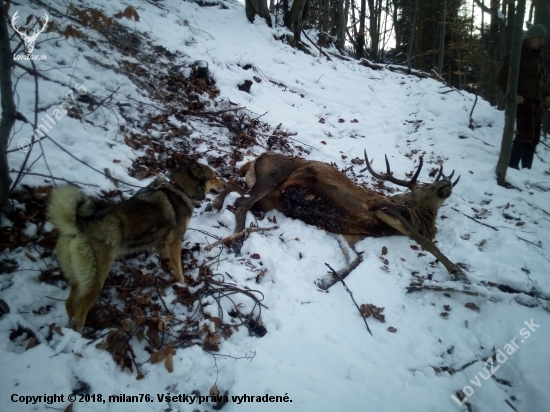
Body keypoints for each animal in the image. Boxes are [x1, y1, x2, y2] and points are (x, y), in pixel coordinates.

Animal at [47, 159, 226, 334]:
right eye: (213, 176)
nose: (225, 185)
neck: (180, 188)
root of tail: (77, 227)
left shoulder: (160, 242)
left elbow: (168, 262)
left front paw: (170, 275)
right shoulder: (175, 241)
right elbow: (179, 268)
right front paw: (183, 285)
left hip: (78, 277)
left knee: (70, 303)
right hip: (96, 278)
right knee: (78, 316)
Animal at [213, 150, 468, 288]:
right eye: (424, 187)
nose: (446, 181)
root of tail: (256, 158)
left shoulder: (351, 234)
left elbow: (356, 260)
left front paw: (326, 280)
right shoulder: (381, 207)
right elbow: (422, 240)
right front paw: (457, 271)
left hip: (268, 197)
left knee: (234, 186)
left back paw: (216, 204)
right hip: (274, 176)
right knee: (241, 202)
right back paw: (236, 241)